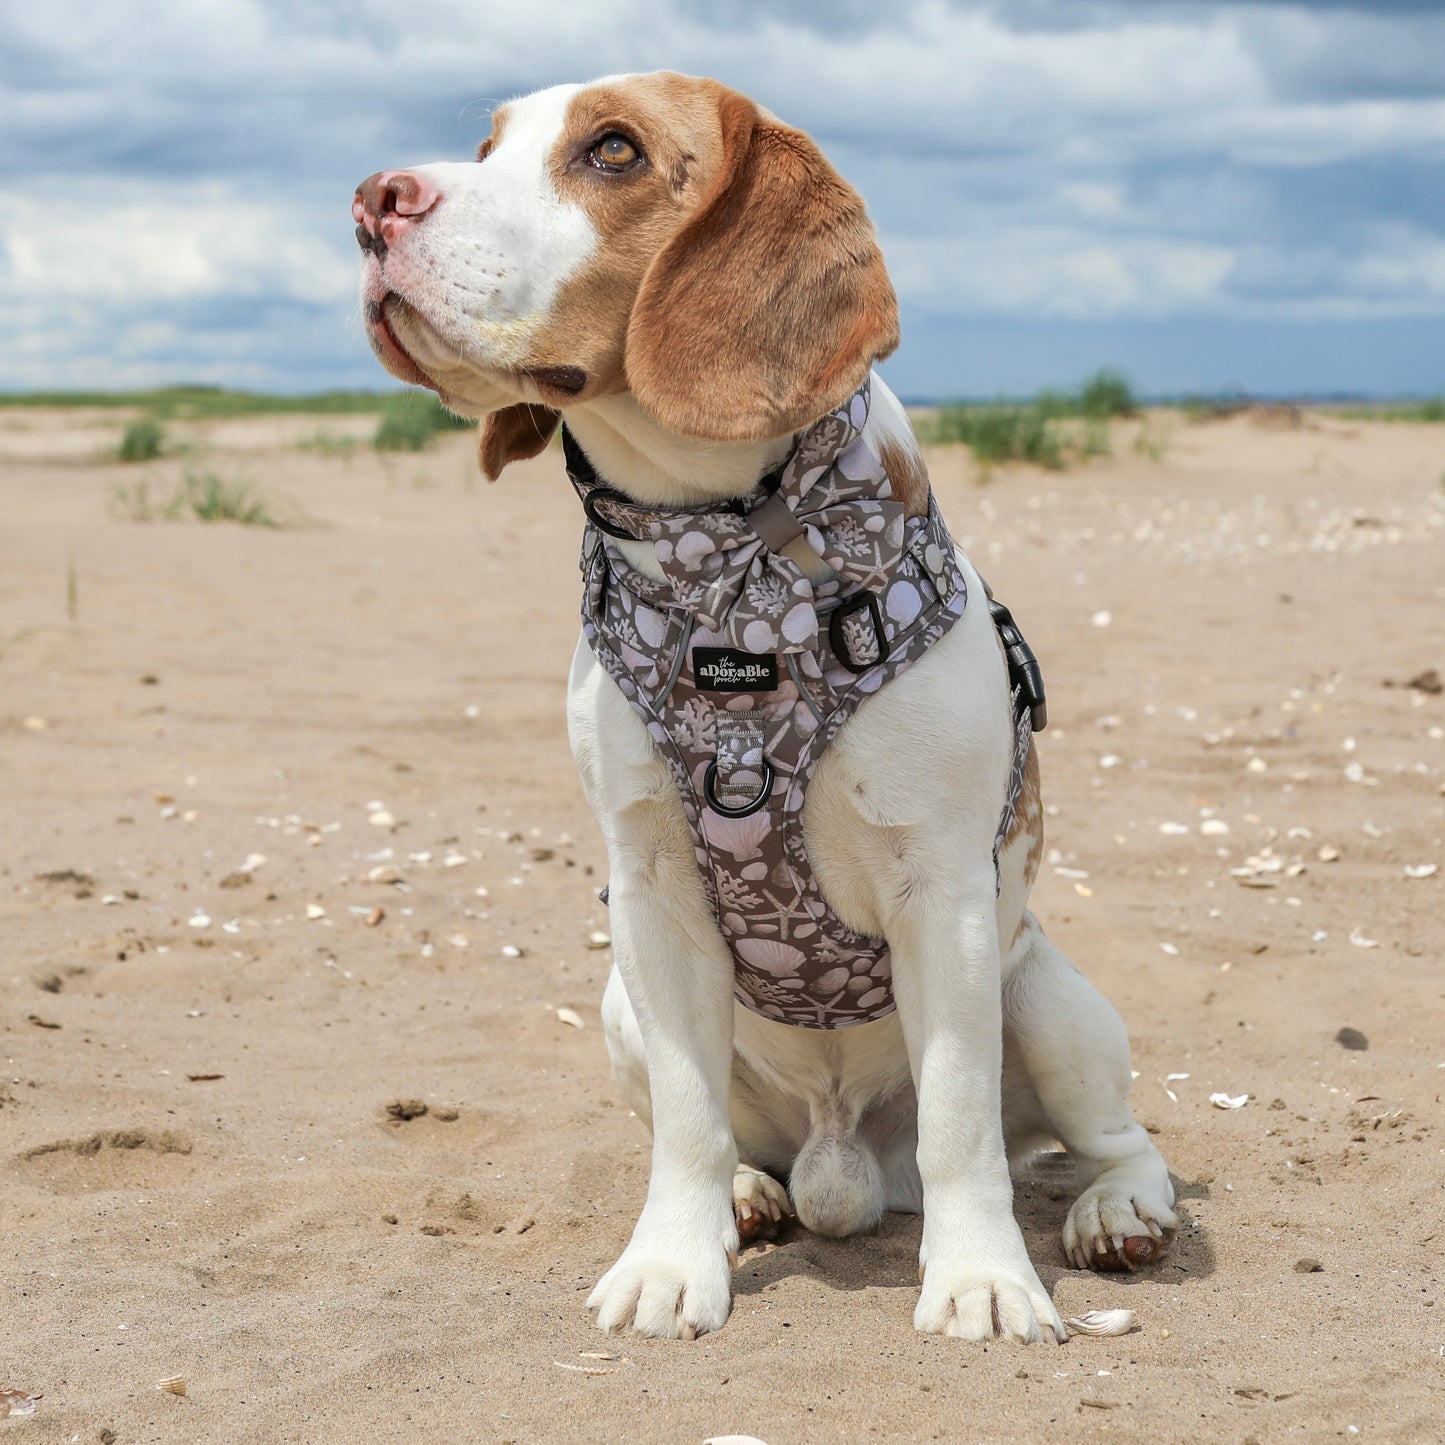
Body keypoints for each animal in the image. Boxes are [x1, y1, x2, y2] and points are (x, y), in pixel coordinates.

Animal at [352, 70, 1173, 1340]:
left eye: (613, 150)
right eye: (486, 145)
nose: (372, 201)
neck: (723, 573)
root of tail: (845, 1164)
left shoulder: (943, 892)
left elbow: (961, 1120)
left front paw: (981, 1278)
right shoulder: (653, 893)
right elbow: (685, 1125)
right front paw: (670, 1261)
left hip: (1043, 996)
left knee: (1112, 1140)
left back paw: (1116, 1213)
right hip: (619, 1004)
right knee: (724, 1134)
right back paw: (752, 1191)